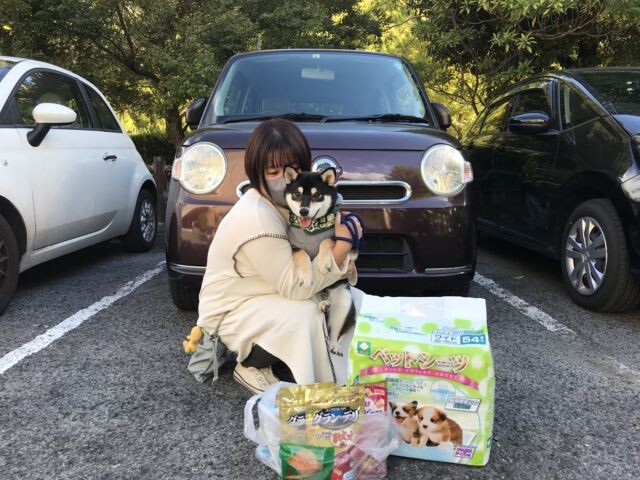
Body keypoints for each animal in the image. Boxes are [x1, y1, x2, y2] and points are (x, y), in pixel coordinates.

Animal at [283, 165, 358, 355]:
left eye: (317, 195)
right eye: (297, 194)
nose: (303, 211)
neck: (313, 229)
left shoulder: (347, 242)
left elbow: (326, 241)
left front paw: (324, 263)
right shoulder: (293, 245)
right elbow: (302, 254)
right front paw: (306, 275)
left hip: (344, 302)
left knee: (335, 332)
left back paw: (334, 345)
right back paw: (323, 305)